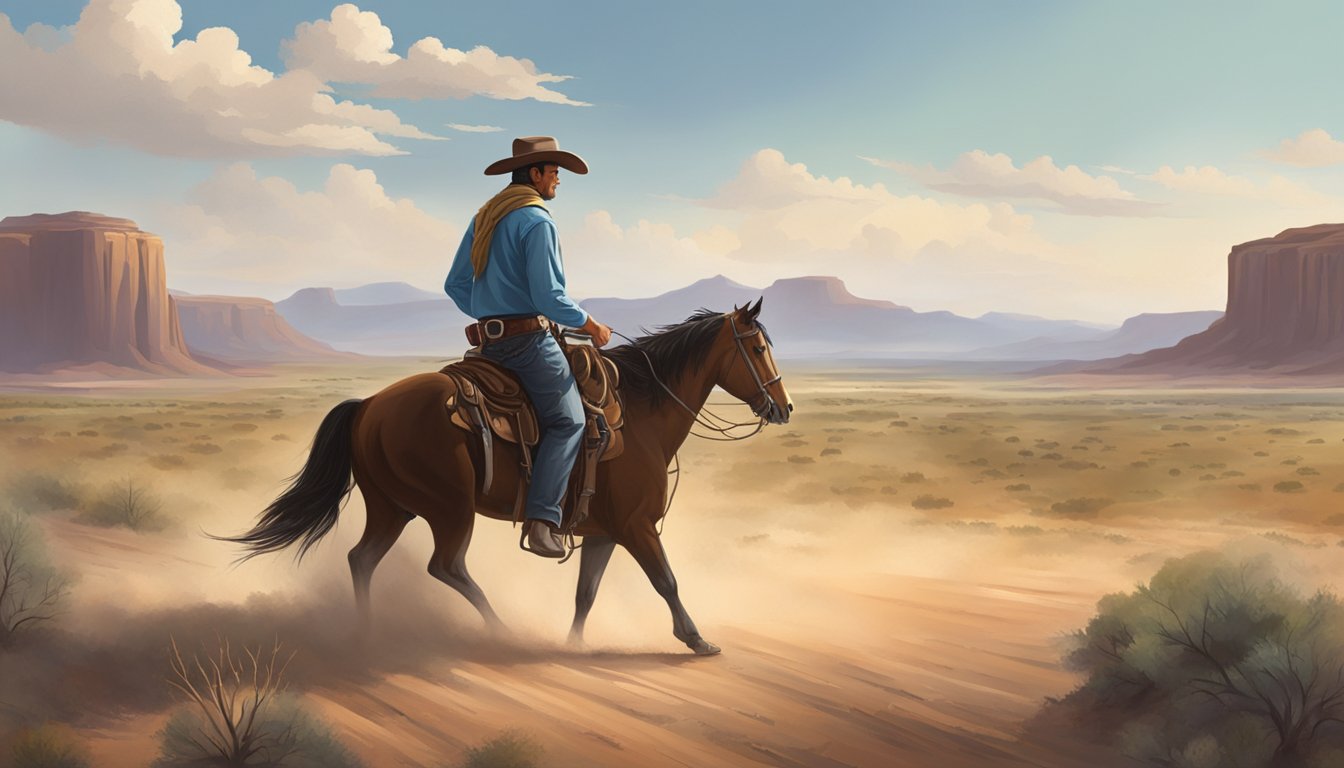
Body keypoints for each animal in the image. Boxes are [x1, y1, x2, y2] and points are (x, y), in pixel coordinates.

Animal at [219, 298, 784, 656]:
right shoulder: (636, 526)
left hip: (391, 506)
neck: (642, 412)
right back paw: (501, 631)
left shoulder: (604, 532)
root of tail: (368, 406)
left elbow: (586, 593)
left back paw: (368, 635)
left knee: (362, 559)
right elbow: (666, 579)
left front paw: (573, 644)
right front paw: (697, 640)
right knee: (446, 566)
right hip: (447, 508)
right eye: (757, 349)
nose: (784, 406)